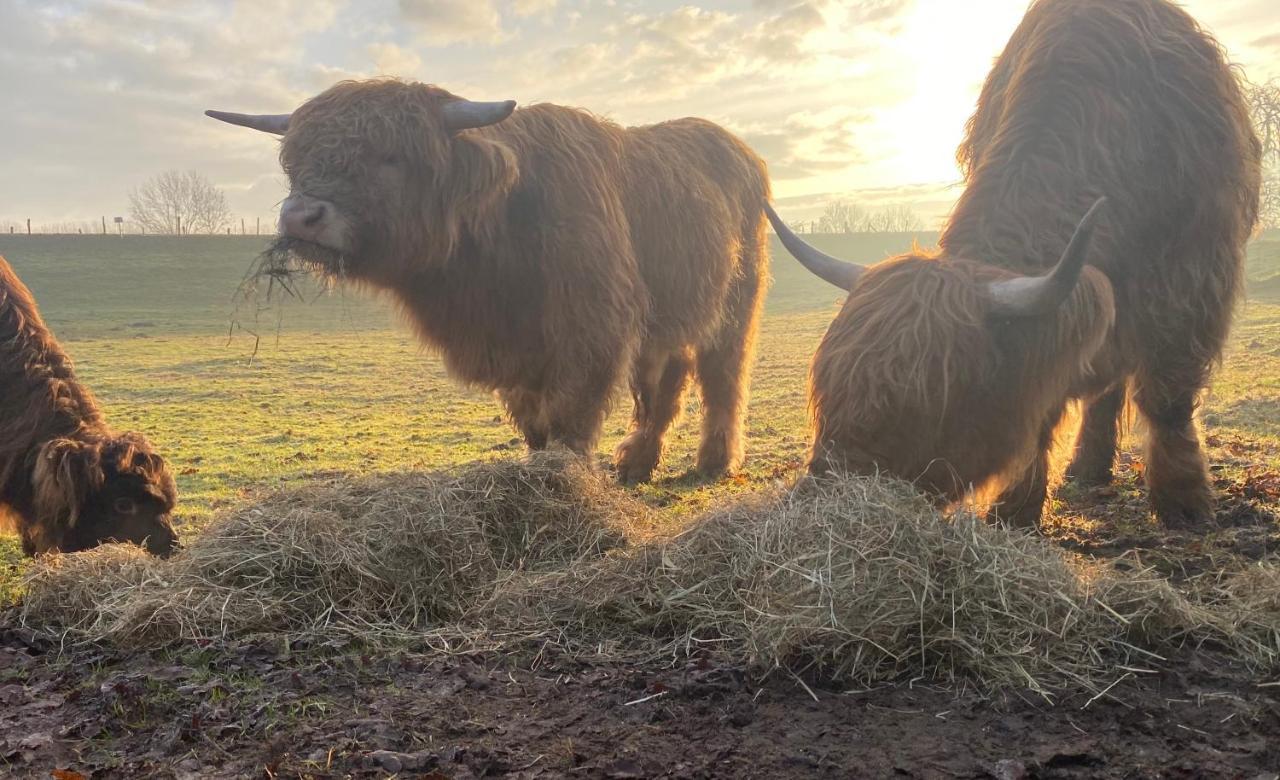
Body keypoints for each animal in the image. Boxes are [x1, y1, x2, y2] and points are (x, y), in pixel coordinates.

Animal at [207, 79, 768, 481]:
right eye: (294, 162)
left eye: (390, 157)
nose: (301, 216)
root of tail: (741, 150)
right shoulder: (513, 348)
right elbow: (533, 419)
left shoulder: (593, 329)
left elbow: (569, 417)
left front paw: (564, 487)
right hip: (673, 314)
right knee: (669, 380)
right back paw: (637, 462)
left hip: (737, 304)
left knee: (723, 376)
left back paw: (715, 461)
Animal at [768, 0, 1259, 530]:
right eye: (829, 392)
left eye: (927, 404)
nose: (824, 495)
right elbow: (1040, 411)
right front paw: (1015, 511)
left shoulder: (1193, 279)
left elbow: (1168, 399)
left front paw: (1185, 504)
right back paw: (1087, 467)